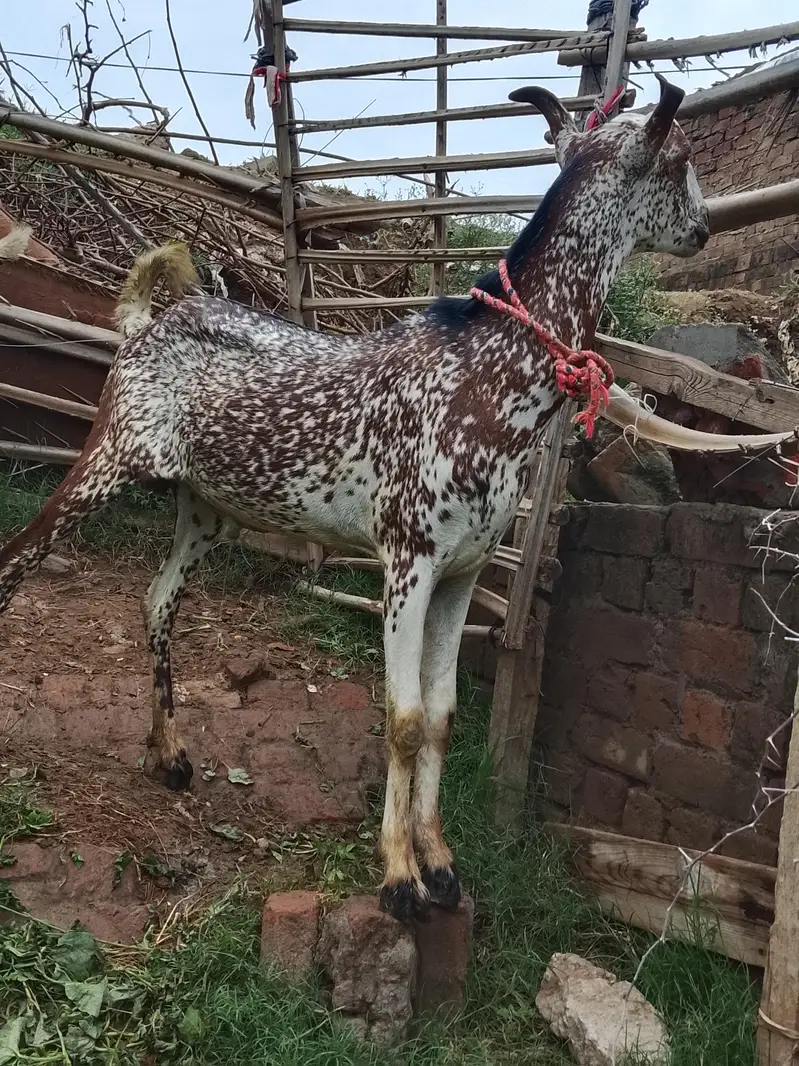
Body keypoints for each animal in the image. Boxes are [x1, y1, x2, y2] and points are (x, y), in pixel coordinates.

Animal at [0, 79, 790, 922]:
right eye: (680, 159)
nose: (704, 229)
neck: (491, 379)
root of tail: (152, 318)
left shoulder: (462, 571)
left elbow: (441, 719)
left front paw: (440, 864)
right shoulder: (408, 558)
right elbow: (405, 720)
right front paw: (399, 878)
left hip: (205, 504)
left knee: (156, 600)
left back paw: (171, 753)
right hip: (109, 457)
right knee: (16, 564)